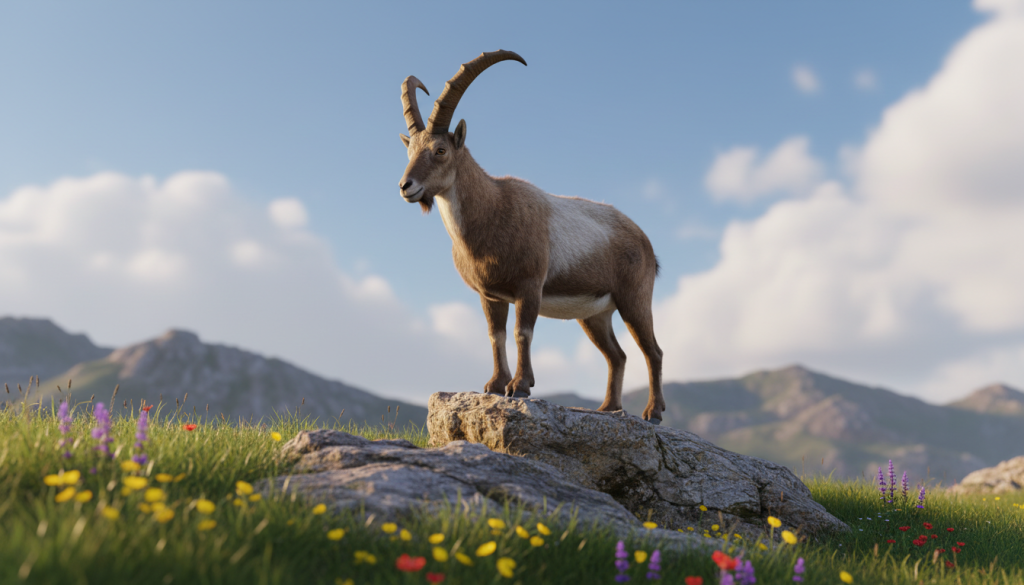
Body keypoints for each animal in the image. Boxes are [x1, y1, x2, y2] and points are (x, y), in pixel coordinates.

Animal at [398, 50, 665, 424]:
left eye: (440, 150)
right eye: (410, 152)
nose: (406, 186)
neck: (492, 211)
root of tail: (646, 242)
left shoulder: (529, 286)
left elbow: (521, 333)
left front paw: (521, 386)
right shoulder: (491, 295)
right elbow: (495, 336)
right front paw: (496, 384)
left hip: (634, 298)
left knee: (652, 350)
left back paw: (653, 412)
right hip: (594, 314)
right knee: (618, 355)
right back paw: (608, 408)